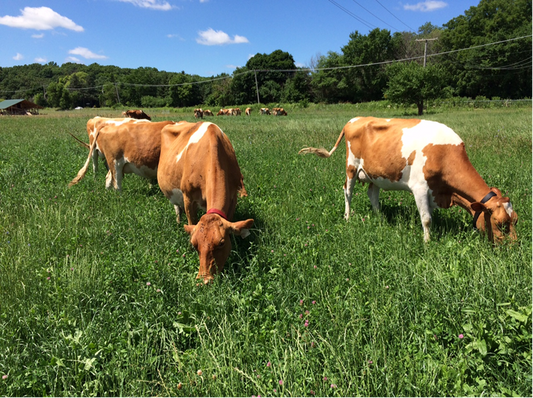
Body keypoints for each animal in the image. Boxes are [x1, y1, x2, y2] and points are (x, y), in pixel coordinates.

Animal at [156, 121, 254, 282]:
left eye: (221, 243)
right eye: (194, 244)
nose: (204, 280)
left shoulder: (233, 195)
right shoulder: (188, 197)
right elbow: (191, 221)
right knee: (177, 207)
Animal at [300, 116, 516, 244]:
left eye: (515, 220)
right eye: (500, 224)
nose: (514, 247)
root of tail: (355, 119)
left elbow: (429, 216)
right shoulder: (419, 188)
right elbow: (426, 219)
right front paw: (427, 243)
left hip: (375, 174)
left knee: (372, 193)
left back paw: (380, 217)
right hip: (351, 167)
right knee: (348, 191)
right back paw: (347, 217)